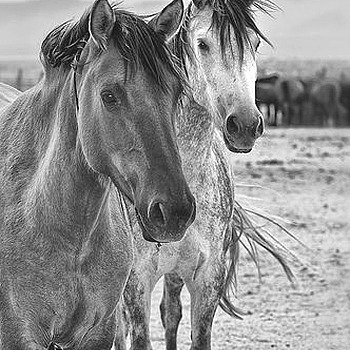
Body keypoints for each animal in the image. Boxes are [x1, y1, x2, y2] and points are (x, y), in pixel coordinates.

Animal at [113, 0, 292, 350]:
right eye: (202, 44)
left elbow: (196, 334)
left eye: (255, 43)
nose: (245, 125)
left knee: (170, 313)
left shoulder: (208, 277)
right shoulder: (136, 281)